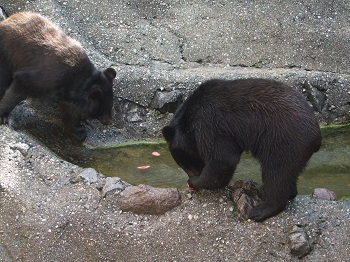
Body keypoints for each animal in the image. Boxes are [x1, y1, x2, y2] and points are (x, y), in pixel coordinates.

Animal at [0, 11, 117, 141]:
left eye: (110, 105)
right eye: (104, 108)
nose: (109, 121)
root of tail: (7, 20)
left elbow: (71, 112)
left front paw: (79, 131)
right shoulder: (45, 78)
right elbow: (20, 86)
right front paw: (3, 116)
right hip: (6, 55)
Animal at [163, 79, 322, 222]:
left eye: (185, 163)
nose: (191, 176)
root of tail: (317, 135)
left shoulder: (209, 122)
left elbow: (223, 158)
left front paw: (195, 181)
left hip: (284, 140)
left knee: (276, 172)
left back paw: (262, 210)